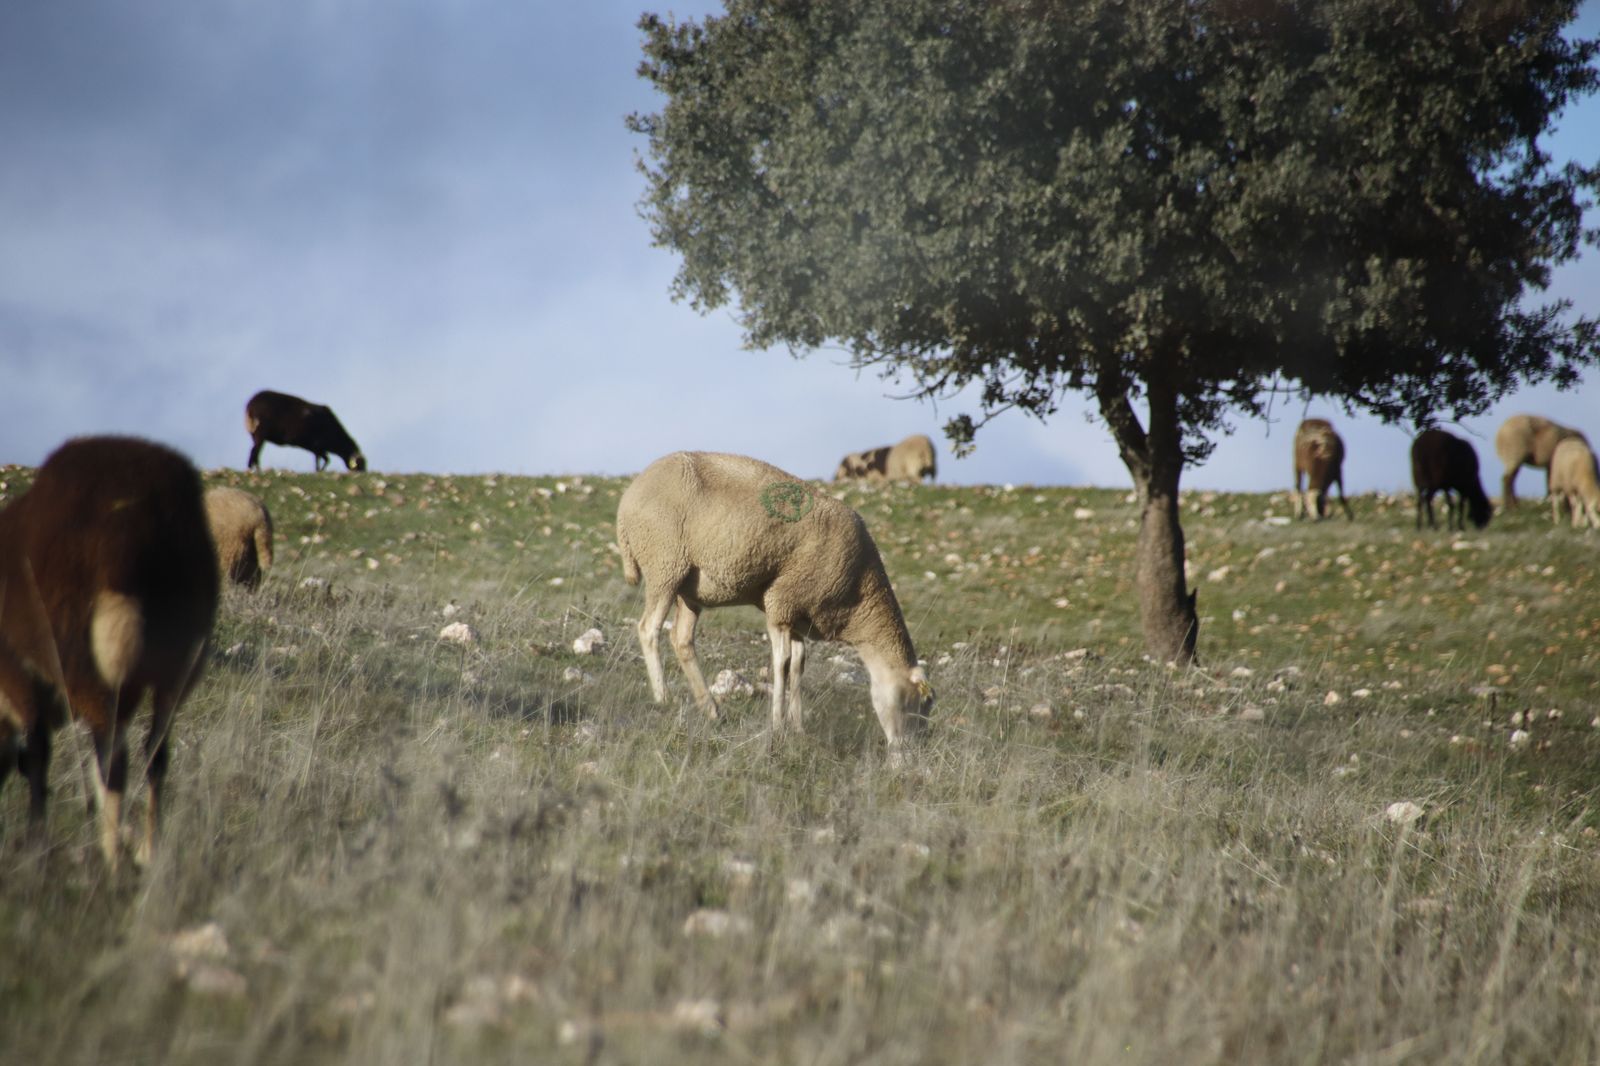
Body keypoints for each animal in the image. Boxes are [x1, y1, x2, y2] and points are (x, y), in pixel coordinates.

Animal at [0, 436, 219, 869]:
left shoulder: (21, 678)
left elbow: (37, 758)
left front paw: (36, 842)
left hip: (87, 661)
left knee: (113, 761)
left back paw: (111, 859)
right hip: (178, 663)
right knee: (155, 755)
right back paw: (150, 849)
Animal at [617, 451, 932, 755]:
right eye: (915, 704)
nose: (909, 754)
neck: (860, 597)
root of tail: (628, 497)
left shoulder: (798, 618)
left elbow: (798, 666)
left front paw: (798, 727)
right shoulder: (781, 604)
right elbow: (781, 663)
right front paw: (778, 726)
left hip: (690, 589)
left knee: (681, 639)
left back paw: (711, 709)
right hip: (664, 566)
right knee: (648, 629)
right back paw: (664, 698)